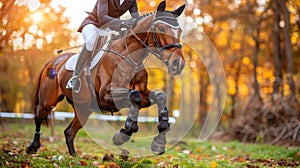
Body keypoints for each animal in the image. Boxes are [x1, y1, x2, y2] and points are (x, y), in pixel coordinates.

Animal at [26, 1, 185, 156]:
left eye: (180, 31)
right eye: (162, 28)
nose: (178, 64)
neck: (129, 57)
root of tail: (53, 61)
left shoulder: (143, 92)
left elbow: (159, 96)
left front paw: (159, 141)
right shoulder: (105, 96)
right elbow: (135, 96)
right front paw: (124, 132)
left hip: (83, 108)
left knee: (69, 132)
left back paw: (74, 157)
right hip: (48, 100)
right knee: (39, 117)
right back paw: (33, 147)